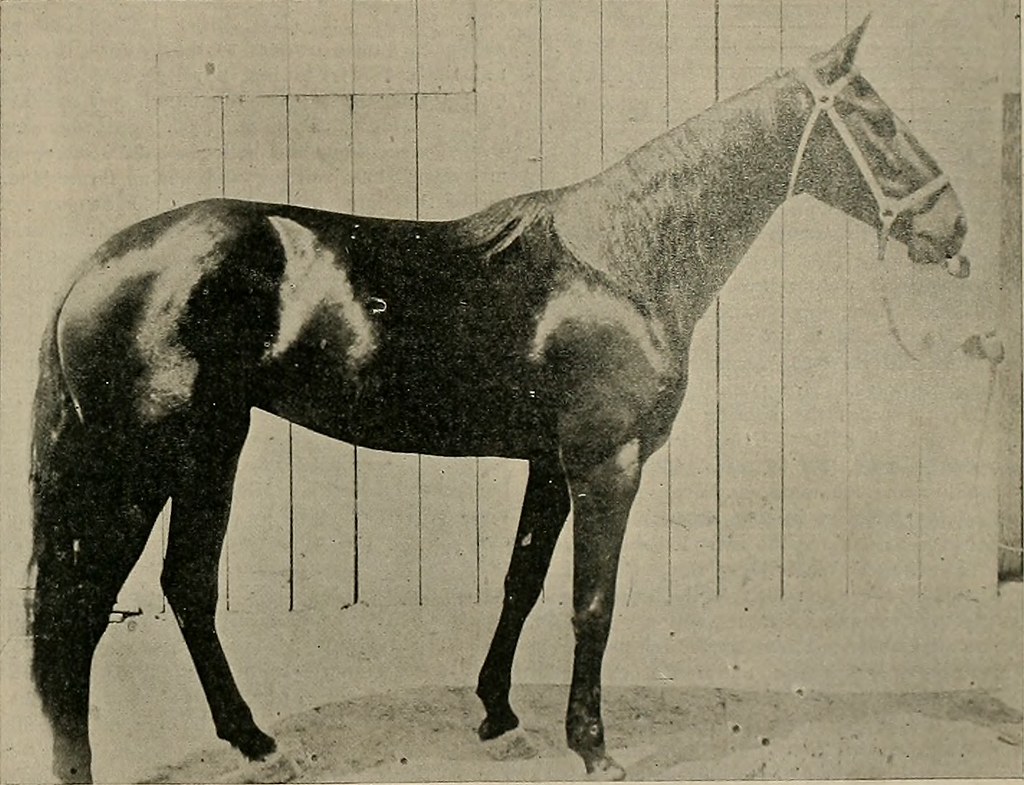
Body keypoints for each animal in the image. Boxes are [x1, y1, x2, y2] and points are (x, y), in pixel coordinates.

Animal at [27, 18, 970, 783]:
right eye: (878, 119)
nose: (952, 228)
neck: (622, 261)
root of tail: (97, 262)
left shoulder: (550, 463)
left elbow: (522, 579)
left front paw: (500, 714)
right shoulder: (606, 463)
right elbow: (594, 601)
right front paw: (593, 746)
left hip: (213, 445)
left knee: (184, 585)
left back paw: (258, 742)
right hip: (141, 461)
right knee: (82, 607)